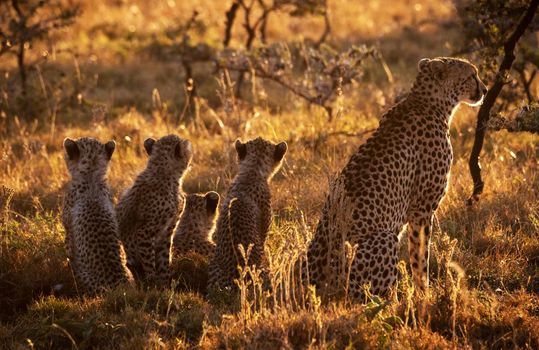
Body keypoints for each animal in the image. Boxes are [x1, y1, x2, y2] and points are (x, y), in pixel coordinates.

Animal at [116, 135, 192, 288]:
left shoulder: (168, 231)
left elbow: (164, 261)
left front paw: (165, 287)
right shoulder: (144, 233)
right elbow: (150, 264)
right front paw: (154, 286)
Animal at [308, 57, 490, 300]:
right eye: (471, 75)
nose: (485, 90)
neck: (428, 102)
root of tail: (318, 283)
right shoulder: (422, 210)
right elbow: (420, 257)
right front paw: (424, 295)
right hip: (382, 240)